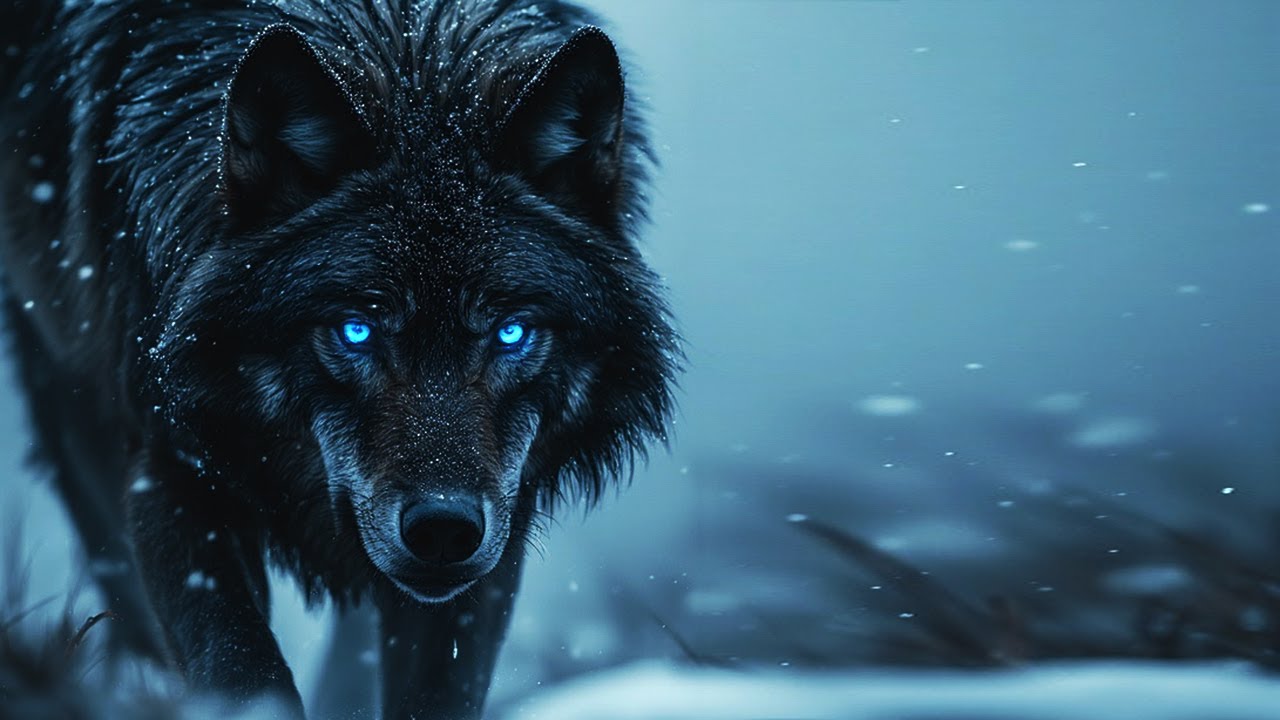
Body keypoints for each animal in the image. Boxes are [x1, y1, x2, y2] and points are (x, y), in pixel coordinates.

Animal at [0, 0, 677, 717]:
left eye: (511, 333)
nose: (443, 529)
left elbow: (438, 688)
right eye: (355, 331)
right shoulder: (170, 463)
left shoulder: (500, 522)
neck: (408, 49)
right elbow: (239, 663)